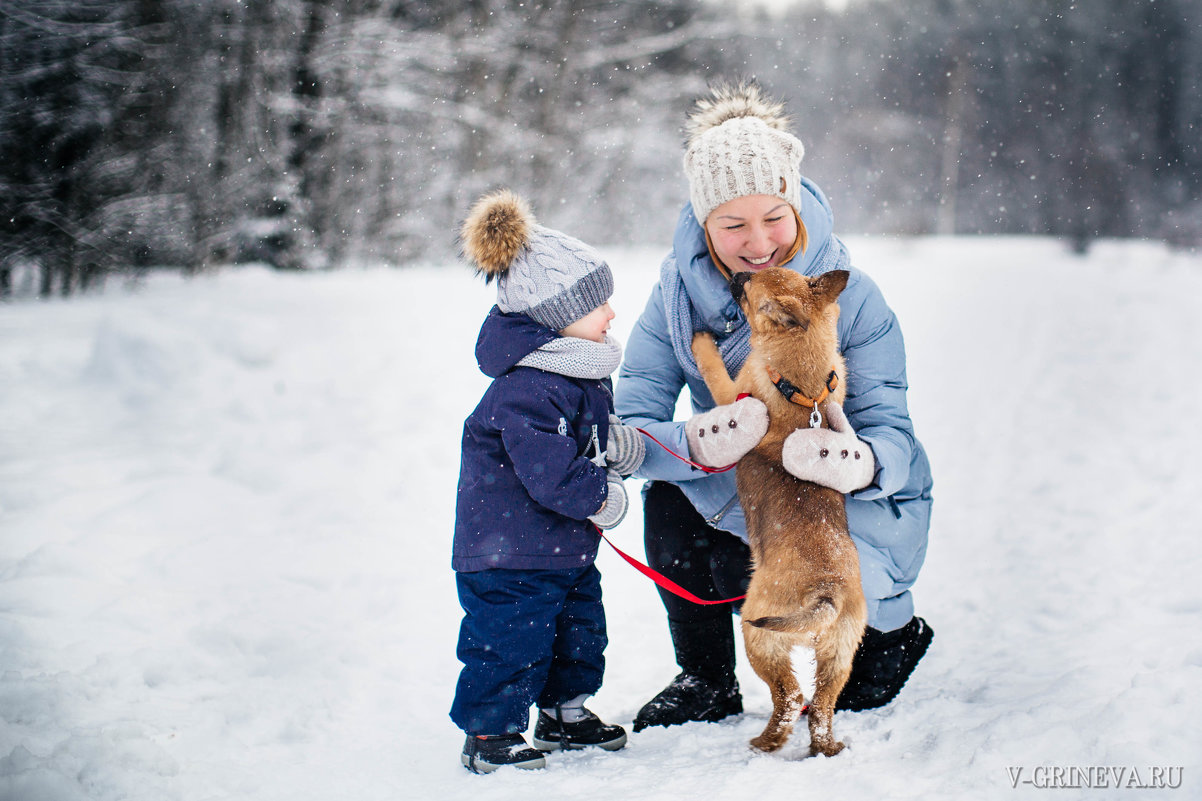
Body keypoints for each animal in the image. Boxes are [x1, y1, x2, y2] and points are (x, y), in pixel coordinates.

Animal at [692, 268, 870, 755]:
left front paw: (702, 342)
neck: (802, 391)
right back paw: (825, 748)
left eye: (750, 286)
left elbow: (713, 369)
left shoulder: (734, 394)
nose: (737, 273)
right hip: (840, 653)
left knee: (789, 695)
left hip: (759, 633)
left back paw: (765, 742)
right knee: (821, 706)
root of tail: (826, 591)